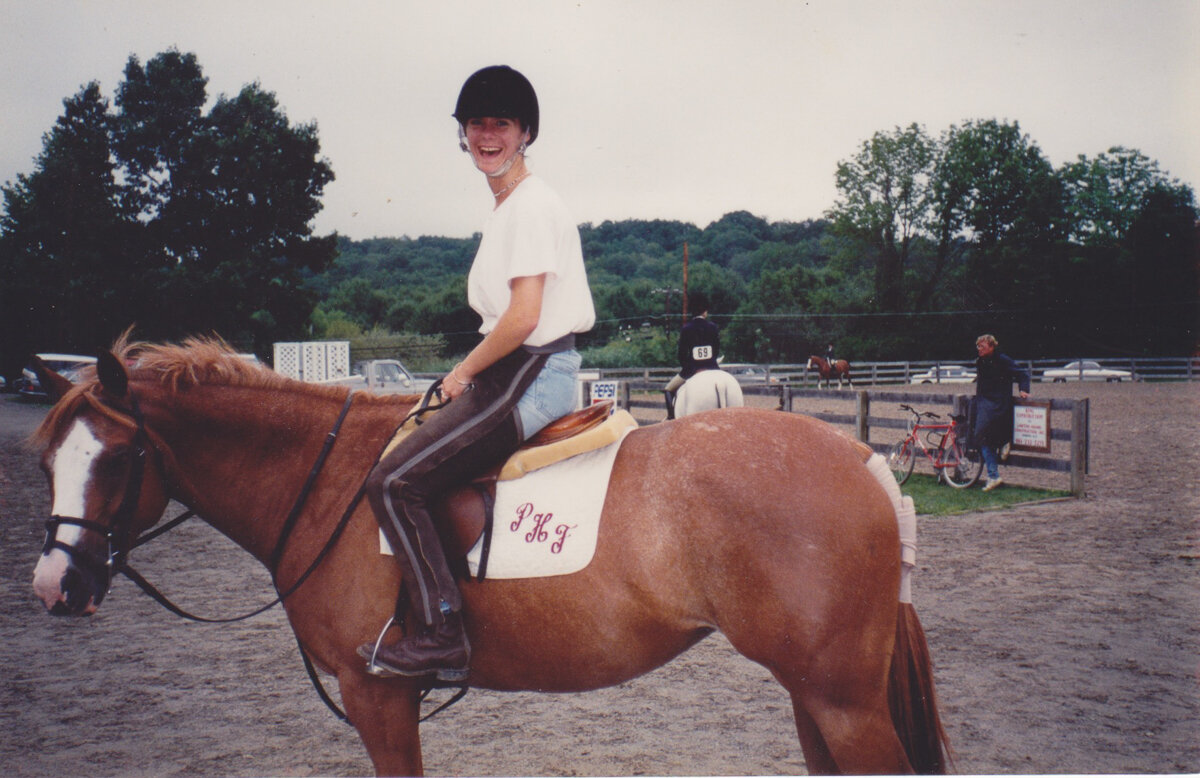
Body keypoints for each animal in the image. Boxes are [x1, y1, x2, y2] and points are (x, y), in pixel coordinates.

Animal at [28, 336, 945, 773]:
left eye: (119, 458)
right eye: (47, 460)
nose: (52, 586)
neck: (327, 481)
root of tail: (859, 458)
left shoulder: (376, 694)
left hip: (841, 700)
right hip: (814, 694)